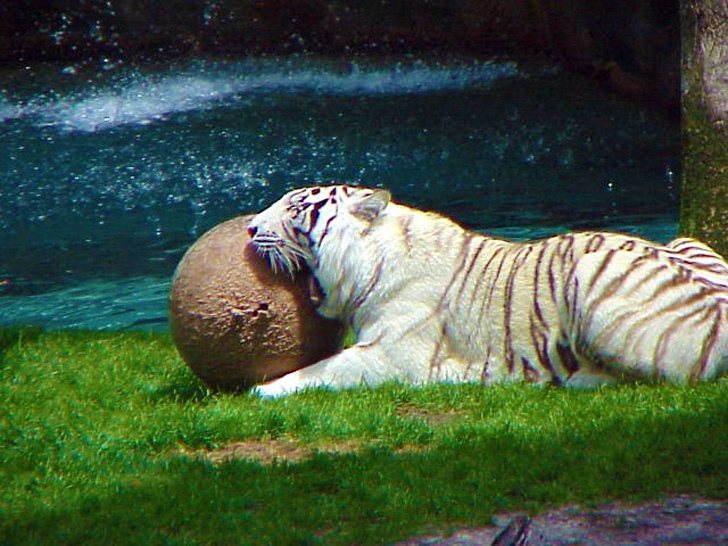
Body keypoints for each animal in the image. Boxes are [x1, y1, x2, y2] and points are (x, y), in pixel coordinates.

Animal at [246, 184, 728, 396]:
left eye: (294, 208)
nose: (249, 227)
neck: (372, 258)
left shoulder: (392, 355)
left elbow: (318, 372)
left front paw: (257, 391)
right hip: (686, 240)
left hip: (591, 270)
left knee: (682, 375)